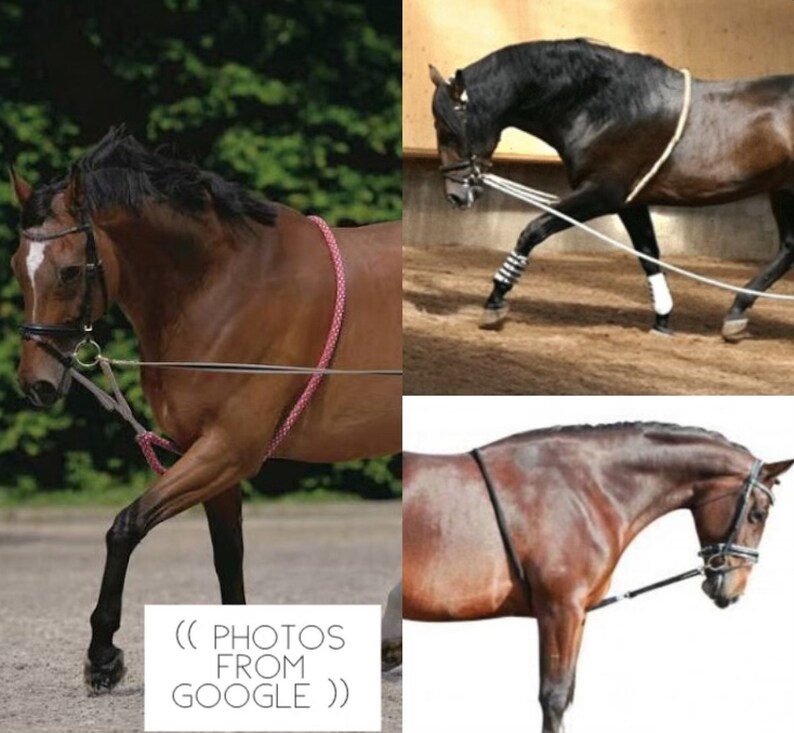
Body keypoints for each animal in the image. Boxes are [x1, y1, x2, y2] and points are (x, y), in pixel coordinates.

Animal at [9, 127, 402, 692]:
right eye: (18, 269)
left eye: (69, 271)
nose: (36, 383)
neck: (225, 287)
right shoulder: (212, 459)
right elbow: (227, 558)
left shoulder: (227, 451)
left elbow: (126, 526)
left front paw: (102, 658)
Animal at [402, 422, 792, 733]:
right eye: (758, 514)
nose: (733, 591)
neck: (585, 489)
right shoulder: (560, 610)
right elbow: (554, 697)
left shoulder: (578, 615)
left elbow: (567, 695)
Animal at [429, 38, 794, 339]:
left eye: (447, 129)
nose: (455, 195)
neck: (604, 106)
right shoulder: (629, 202)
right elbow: (648, 255)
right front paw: (662, 321)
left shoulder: (602, 194)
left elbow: (532, 231)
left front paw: (494, 302)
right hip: (782, 191)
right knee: (788, 248)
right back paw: (736, 313)